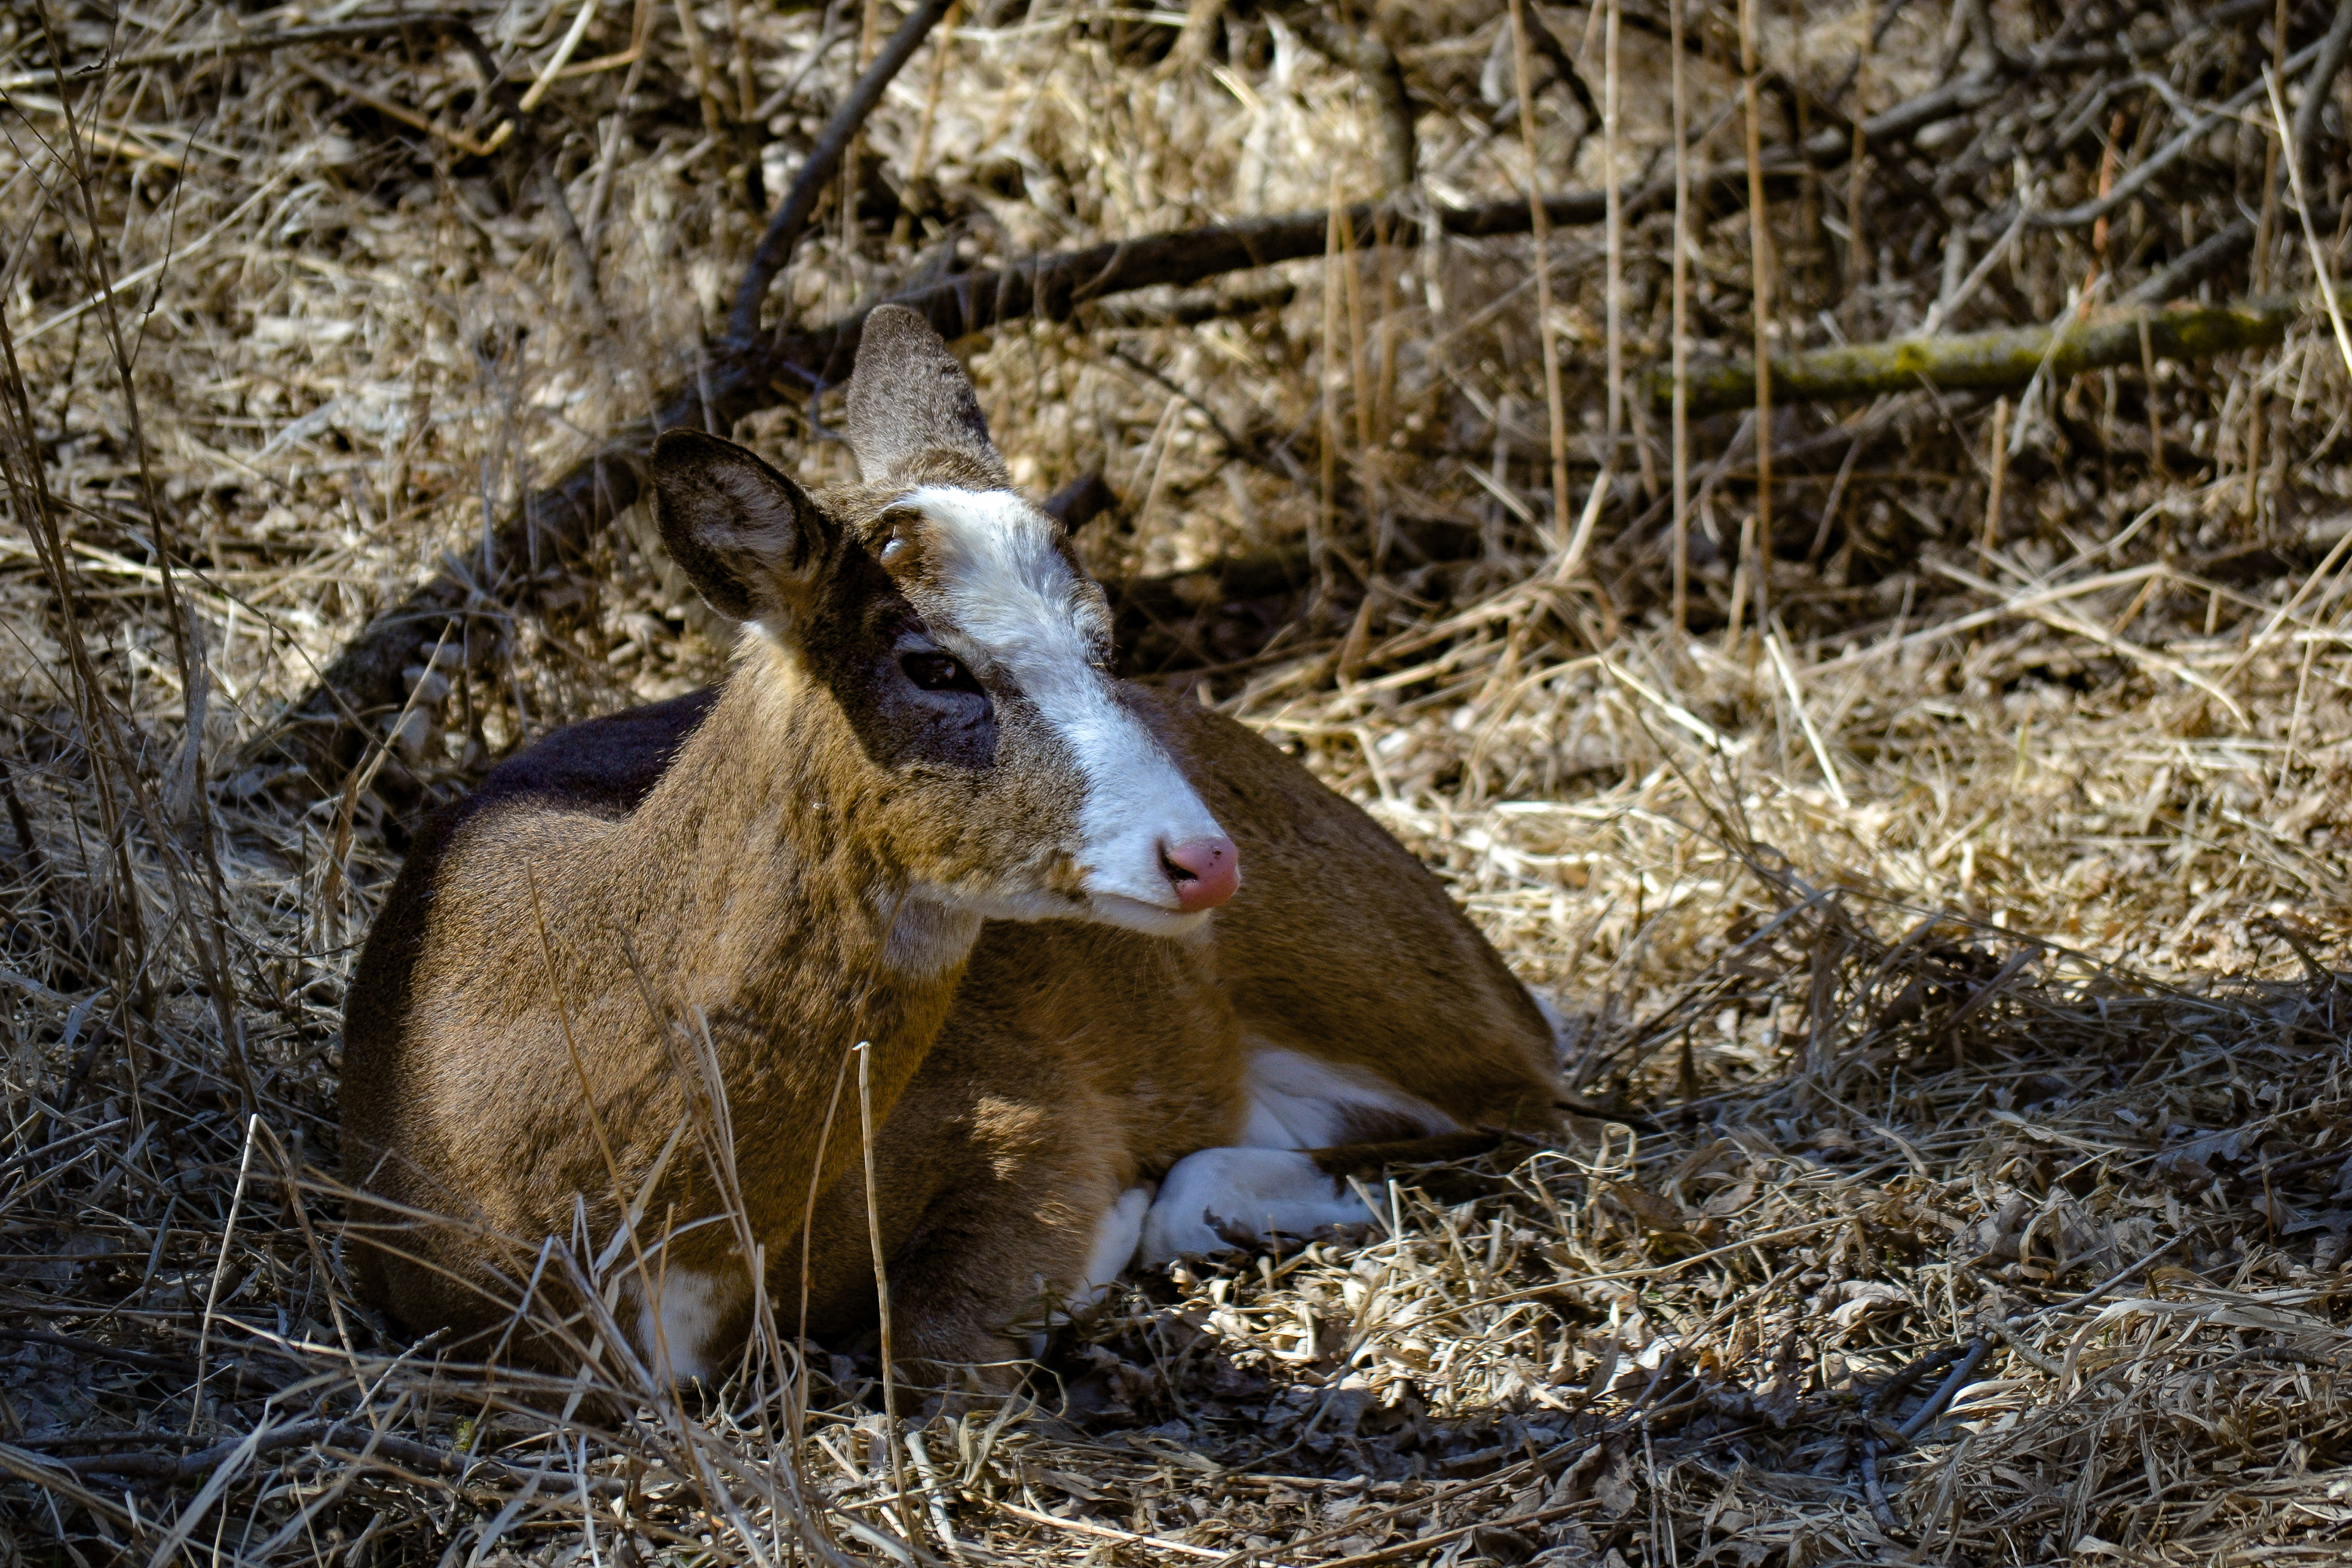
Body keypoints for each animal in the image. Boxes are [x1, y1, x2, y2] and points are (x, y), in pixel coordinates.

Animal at [340, 305, 1563, 1392]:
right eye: (932, 663)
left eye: (1103, 635)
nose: (1201, 859)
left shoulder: (1031, 1110)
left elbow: (930, 1345)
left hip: (1389, 975)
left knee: (1532, 1099)